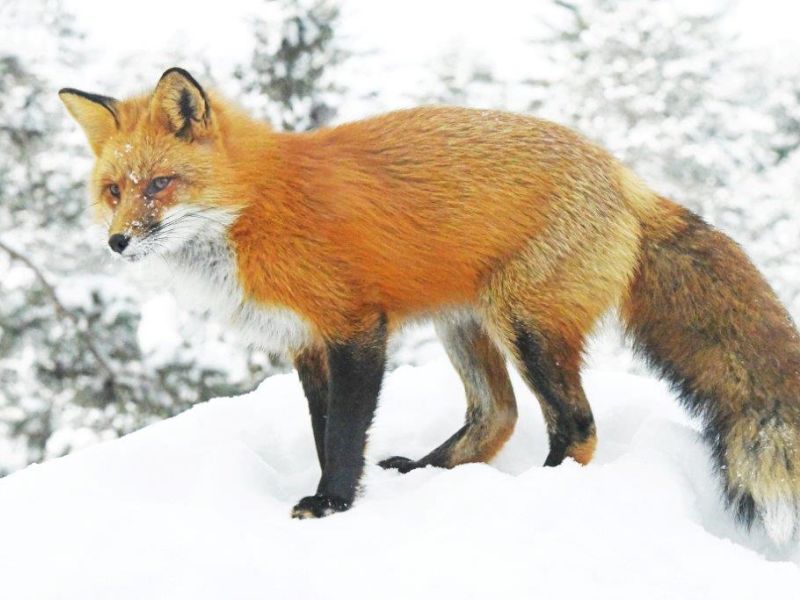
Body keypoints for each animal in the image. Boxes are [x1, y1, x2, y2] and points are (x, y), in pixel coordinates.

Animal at [59, 67, 800, 544]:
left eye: (159, 184)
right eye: (114, 191)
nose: (117, 242)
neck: (254, 209)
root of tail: (623, 175)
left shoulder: (356, 328)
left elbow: (343, 435)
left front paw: (332, 505)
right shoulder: (306, 343)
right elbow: (325, 431)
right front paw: (341, 496)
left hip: (525, 327)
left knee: (577, 425)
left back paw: (542, 490)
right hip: (463, 325)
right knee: (496, 416)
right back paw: (423, 471)